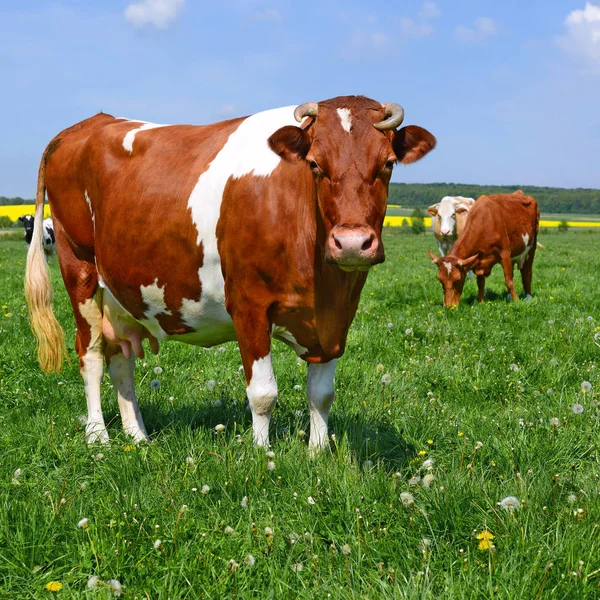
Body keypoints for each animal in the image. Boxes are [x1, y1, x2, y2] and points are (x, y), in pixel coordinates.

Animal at [24, 96, 436, 448]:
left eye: (388, 163)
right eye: (316, 164)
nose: (351, 243)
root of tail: (85, 125)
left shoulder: (335, 318)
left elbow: (321, 394)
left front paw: (317, 456)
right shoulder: (248, 305)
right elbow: (263, 393)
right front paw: (262, 455)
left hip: (120, 292)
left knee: (120, 358)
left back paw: (138, 438)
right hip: (78, 268)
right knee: (90, 353)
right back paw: (98, 437)